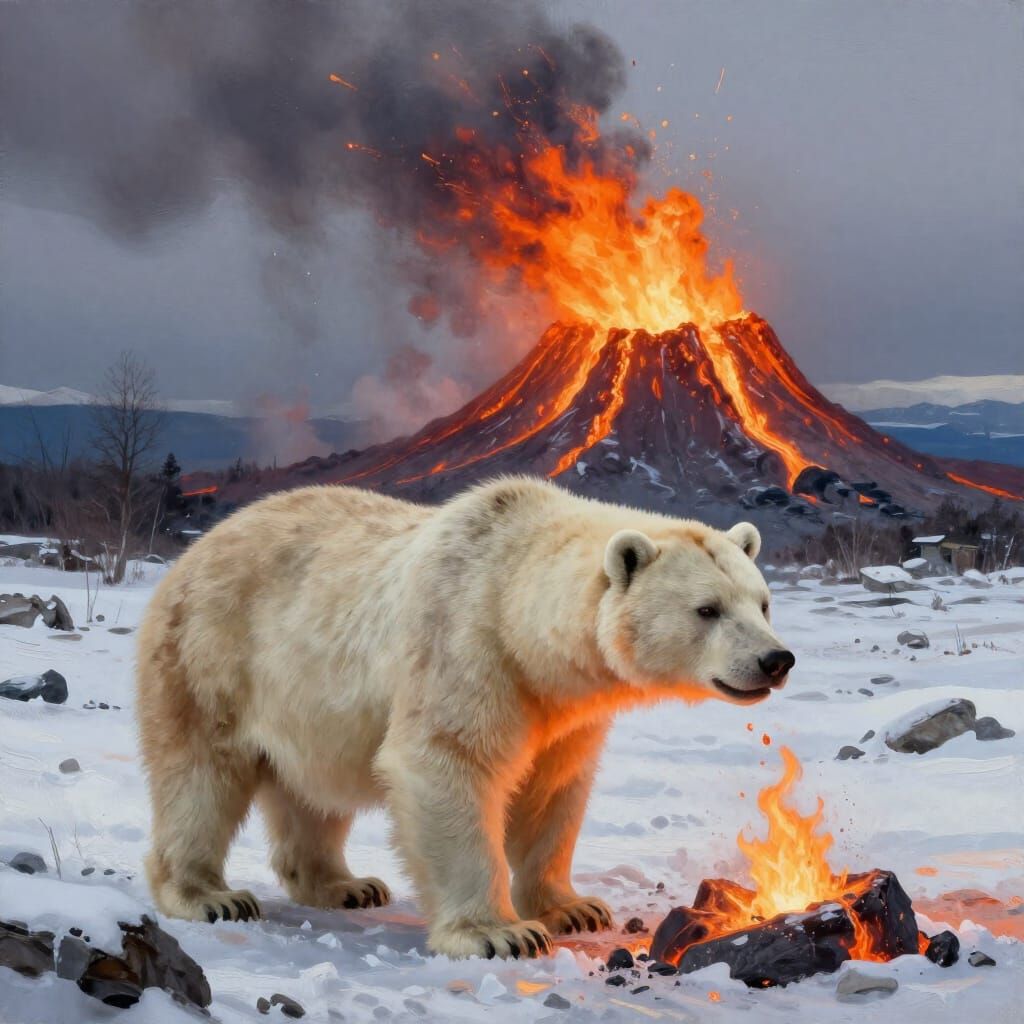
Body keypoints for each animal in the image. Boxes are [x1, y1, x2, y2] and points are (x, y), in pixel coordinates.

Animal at [137, 476, 793, 959]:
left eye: (762, 602)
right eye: (707, 609)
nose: (775, 659)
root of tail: (193, 550)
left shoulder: (562, 707)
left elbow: (552, 789)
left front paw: (574, 908)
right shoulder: (464, 643)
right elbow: (449, 762)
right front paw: (499, 933)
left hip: (306, 701)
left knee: (313, 795)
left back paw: (346, 885)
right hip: (212, 654)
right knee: (199, 776)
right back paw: (209, 895)